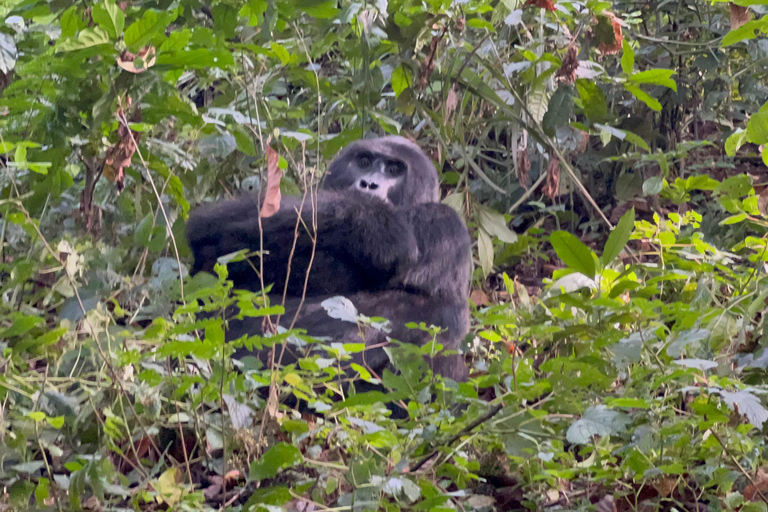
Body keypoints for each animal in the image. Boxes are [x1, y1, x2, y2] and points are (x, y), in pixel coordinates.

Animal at [188, 136, 474, 412]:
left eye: (394, 170)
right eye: (364, 162)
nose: (369, 184)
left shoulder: (444, 223)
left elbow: (437, 313)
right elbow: (212, 230)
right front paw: (375, 221)